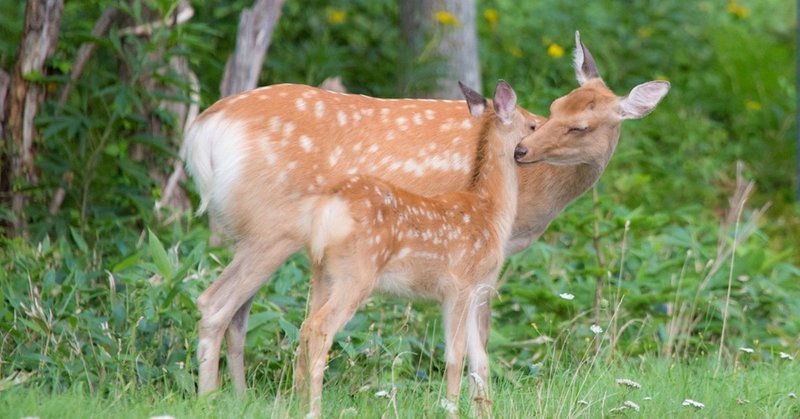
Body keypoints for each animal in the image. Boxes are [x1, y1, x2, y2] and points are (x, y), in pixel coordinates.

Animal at [296, 80, 520, 418]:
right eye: (532, 124)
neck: (490, 212)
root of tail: (329, 208)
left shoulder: (476, 289)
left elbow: (479, 359)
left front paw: (483, 411)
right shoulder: (460, 285)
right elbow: (455, 356)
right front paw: (452, 409)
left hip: (322, 271)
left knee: (304, 325)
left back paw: (292, 400)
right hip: (356, 272)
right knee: (320, 328)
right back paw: (314, 408)